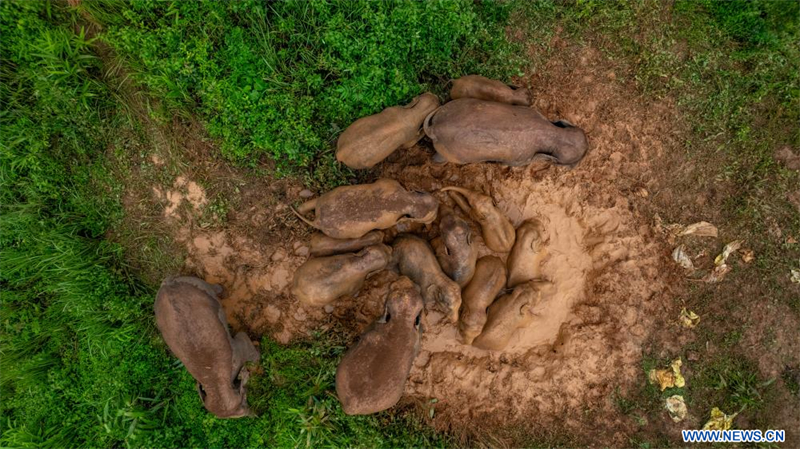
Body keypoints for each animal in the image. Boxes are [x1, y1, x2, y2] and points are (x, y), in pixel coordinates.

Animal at [154, 274, 260, 418]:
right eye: (243, 403)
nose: (254, 415)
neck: (214, 385)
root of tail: (168, 284)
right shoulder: (239, 349)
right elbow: (247, 344)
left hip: (197, 284)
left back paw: (222, 290)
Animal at [290, 178, 438, 240]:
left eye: (421, 192)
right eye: (418, 218)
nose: (437, 205)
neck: (406, 201)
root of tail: (319, 221)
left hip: (326, 197)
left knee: (311, 203)